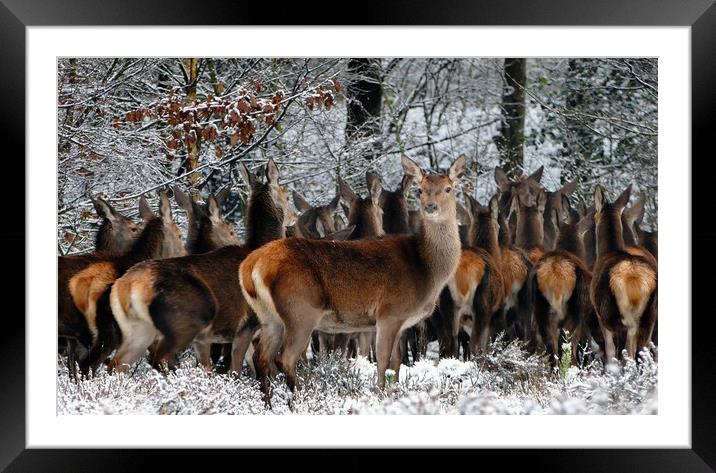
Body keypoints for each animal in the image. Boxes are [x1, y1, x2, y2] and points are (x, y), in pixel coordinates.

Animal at [105, 160, 296, 374]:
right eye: (287, 195)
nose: (295, 216)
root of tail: (129, 285)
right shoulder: (246, 325)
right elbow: (237, 370)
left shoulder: (205, 340)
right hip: (185, 321)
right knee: (159, 359)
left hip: (137, 330)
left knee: (116, 365)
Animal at [238, 155, 468, 402]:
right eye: (420, 190)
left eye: (448, 188)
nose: (430, 207)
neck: (426, 269)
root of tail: (250, 265)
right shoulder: (389, 312)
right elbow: (382, 361)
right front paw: (381, 395)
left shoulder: (401, 322)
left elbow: (396, 363)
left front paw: (395, 393)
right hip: (300, 310)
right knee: (285, 358)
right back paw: (300, 400)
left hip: (269, 317)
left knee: (261, 358)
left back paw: (270, 404)